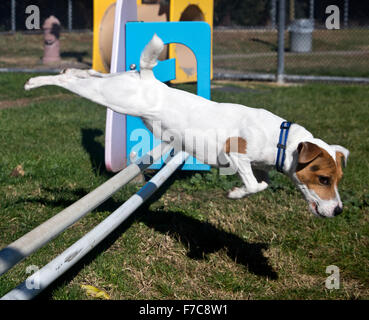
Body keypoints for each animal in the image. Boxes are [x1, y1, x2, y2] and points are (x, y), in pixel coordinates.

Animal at [25, 34, 348, 218]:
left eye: (336, 180)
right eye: (323, 179)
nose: (339, 210)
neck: (281, 140)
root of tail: (147, 78)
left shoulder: (259, 166)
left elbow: (262, 184)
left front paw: (238, 192)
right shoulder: (235, 152)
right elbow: (254, 185)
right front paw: (235, 193)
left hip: (113, 84)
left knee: (85, 73)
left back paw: (67, 69)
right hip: (113, 98)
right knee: (70, 81)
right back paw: (34, 82)